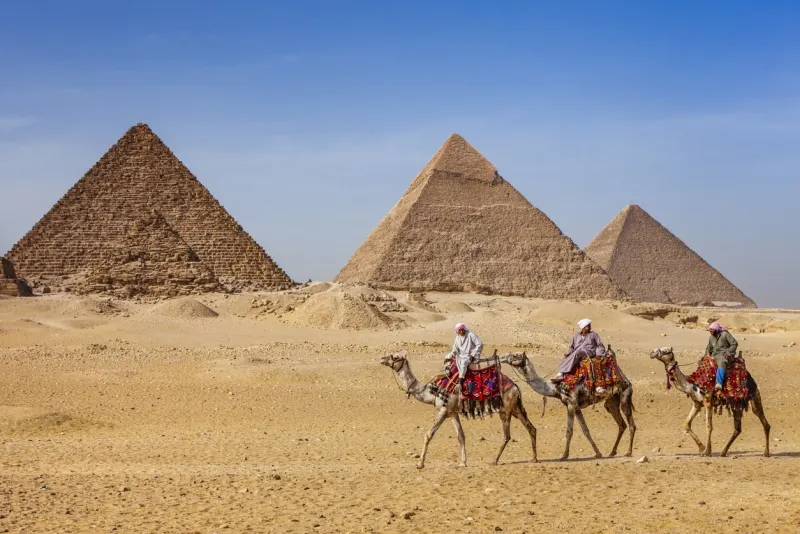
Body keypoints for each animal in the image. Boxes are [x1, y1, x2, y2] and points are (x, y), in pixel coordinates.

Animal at [379, 351, 538, 469]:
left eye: (395, 357)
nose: (382, 358)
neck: (431, 392)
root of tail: (515, 387)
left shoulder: (443, 410)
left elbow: (428, 434)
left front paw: (420, 464)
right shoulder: (452, 412)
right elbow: (461, 436)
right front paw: (462, 462)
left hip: (505, 409)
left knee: (507, 435)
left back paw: (494, 461)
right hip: (515, 408)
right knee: (531, 428)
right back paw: (534, 458)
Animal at [499, 349, 636, 460]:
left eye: (515, 355)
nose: (502, 357)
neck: (555, 387)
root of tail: (625, 378)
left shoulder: (571, 404)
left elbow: (569, 431)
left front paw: (564, 455)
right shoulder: (576, 407)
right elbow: (586, 430)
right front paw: (598, 453)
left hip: (625, 395)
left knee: (631, 425)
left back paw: (628, 452)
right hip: (611, 402)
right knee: (621, 424)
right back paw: (612, 452)